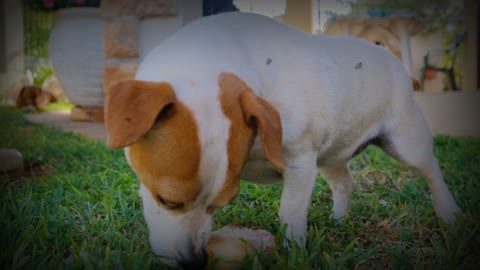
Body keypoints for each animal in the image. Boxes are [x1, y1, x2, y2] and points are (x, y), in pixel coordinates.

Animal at [105, 12, 462, 268]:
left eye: (223, 203)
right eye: (166, 201)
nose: (194, 263)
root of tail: (396, 62)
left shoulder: (300, 163)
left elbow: (290, 213)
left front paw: (293, 253)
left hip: (404, 142)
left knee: (431, 168)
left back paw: (450, 213)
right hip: (331, 154)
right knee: (345, 183)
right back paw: (338, 220)